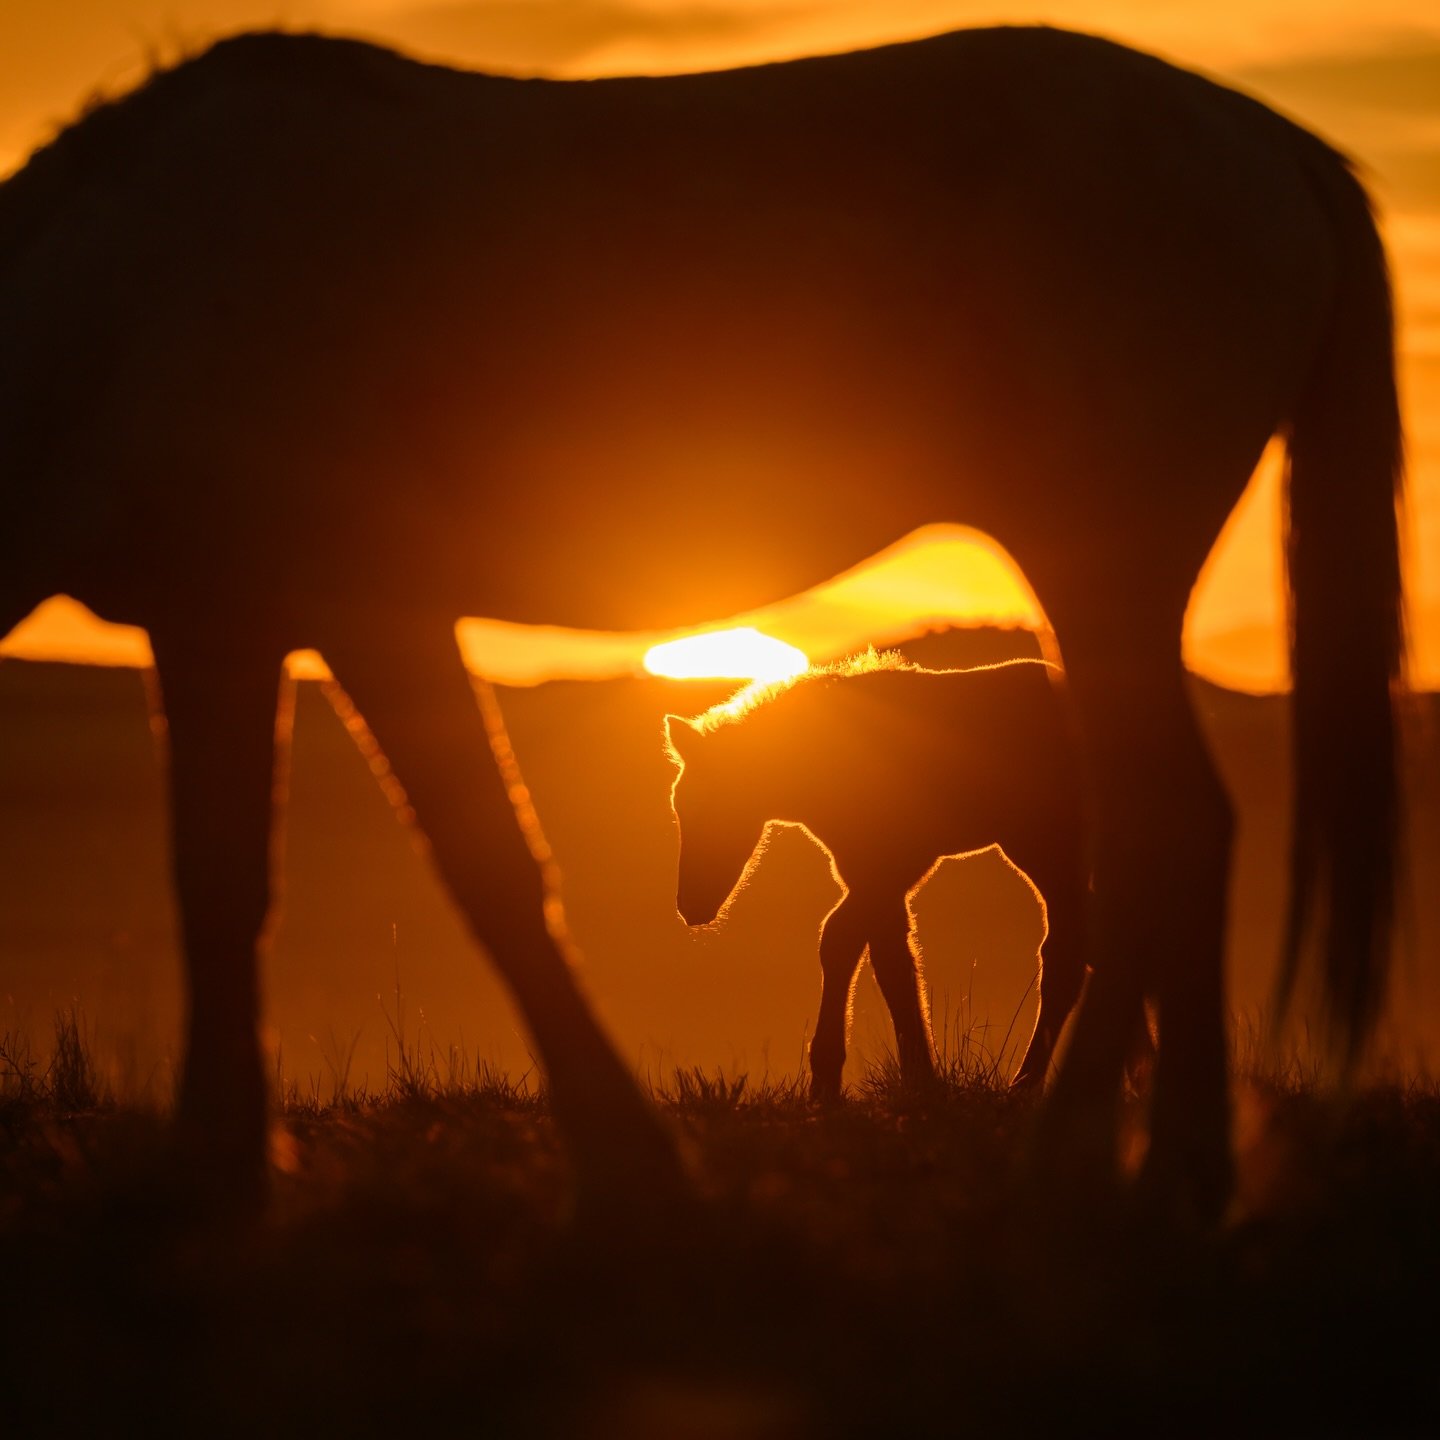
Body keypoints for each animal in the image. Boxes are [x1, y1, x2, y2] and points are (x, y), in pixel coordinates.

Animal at [666, 653, 1088, 1100]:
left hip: (1045, 848)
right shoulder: (871, 874)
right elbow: (890, 962)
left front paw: (828, 1080)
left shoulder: (893, 866)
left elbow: (840, 939)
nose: (691, 906)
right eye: (680, 804)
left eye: (720, 803)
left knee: (1063, 952)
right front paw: (919, 1076)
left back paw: (1024, 1084)